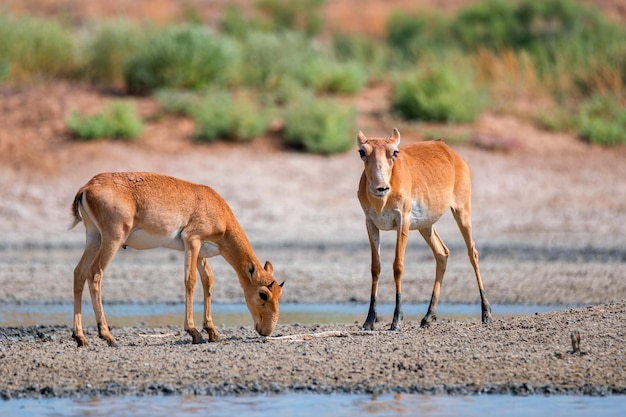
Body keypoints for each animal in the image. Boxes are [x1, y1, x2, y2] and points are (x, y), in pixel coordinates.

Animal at [69, 171, 282, 346]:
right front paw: (194, 332)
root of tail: (87, 188)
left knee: (79, 273)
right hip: (112, 239)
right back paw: (108, 337)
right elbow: (190, 281)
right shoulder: (192, 241)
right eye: (263, 293)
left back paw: (80, 337)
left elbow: (208, 281)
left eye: (279, 293)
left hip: (94, 238)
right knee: (95, 275)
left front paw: (211, 331)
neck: (215, 206)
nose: (267, 331)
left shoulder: (201, 253)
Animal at [354, 128, 490, 330]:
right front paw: (369, 321)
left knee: (472, 253)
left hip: (462, 212)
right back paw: (428, 317)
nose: (381, 188)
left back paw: (486, 313)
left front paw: (396, 320)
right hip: (426, 226)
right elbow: (375, 268)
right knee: (442, 253)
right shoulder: (370, 223)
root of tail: (448, 149)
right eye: (362, 152)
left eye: (394, 152)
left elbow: (398, 266)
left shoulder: (402, 222)